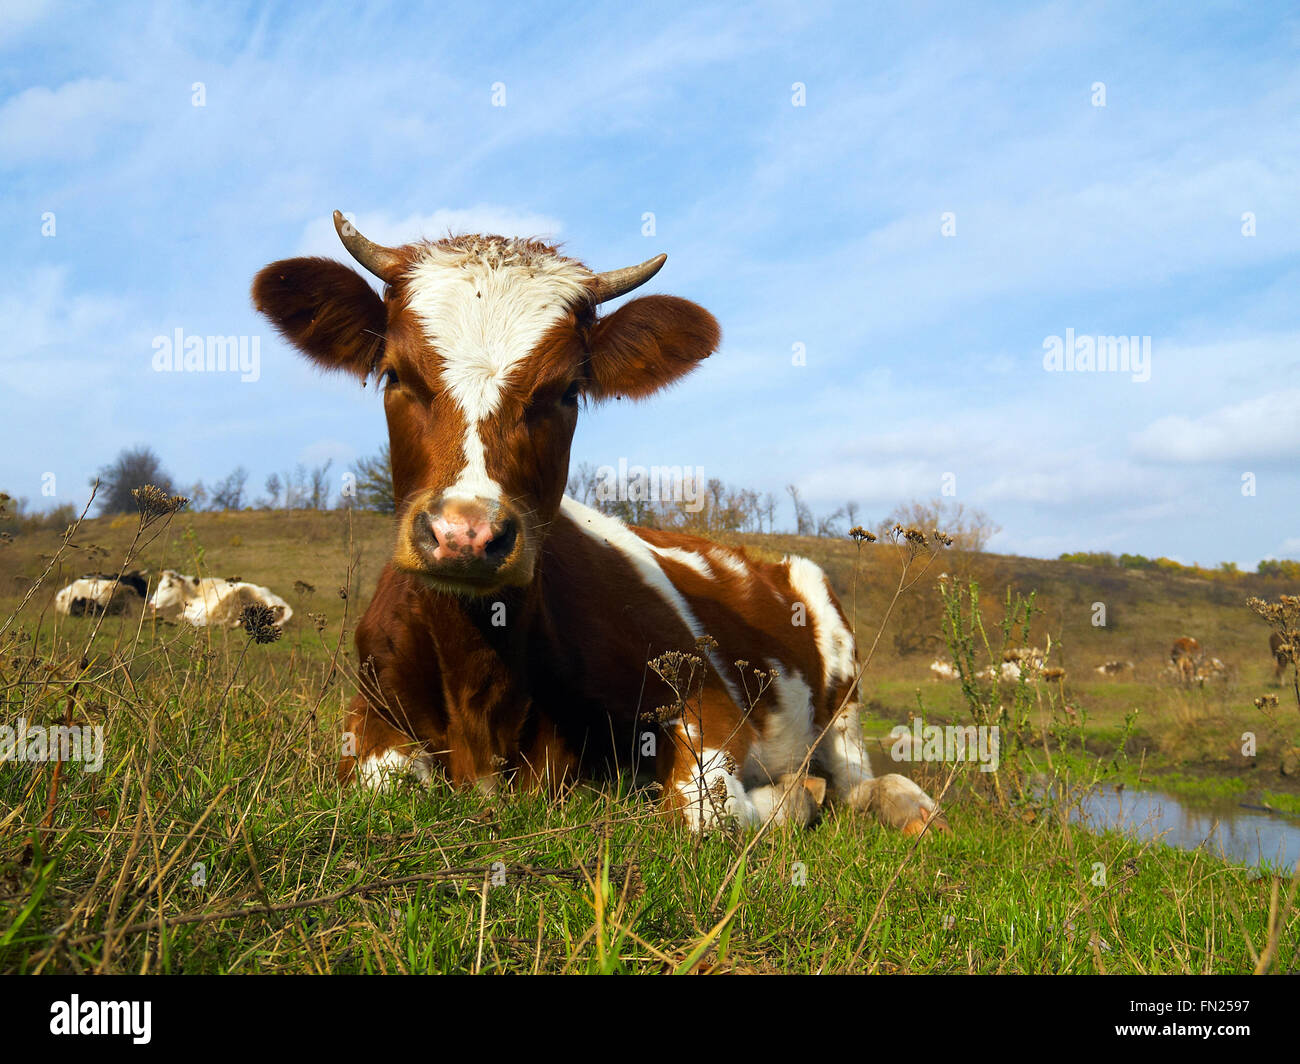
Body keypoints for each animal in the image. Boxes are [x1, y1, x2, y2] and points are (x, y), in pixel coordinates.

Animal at [250, 212, 946, 832]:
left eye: (566, 391)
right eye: (395, 374)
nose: (465, 536)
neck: (483, 679)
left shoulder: (707, 697)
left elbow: (706, 811)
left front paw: (790, 799)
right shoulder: (372, 706)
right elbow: (382, 782)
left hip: (842, 685)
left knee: (861, 782)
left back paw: (904, 807)